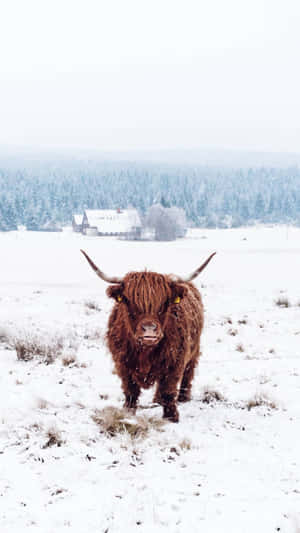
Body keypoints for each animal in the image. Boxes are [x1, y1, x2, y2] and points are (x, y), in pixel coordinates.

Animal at [81, 249, 214, 420]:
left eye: (165, 303)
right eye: (129, 301)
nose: (150, 330)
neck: (145, 352)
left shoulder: (175, 362)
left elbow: (168, 390)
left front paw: (171, 417)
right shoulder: (122, 363)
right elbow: (130, 390)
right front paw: (128, 411)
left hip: (194, 349)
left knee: (188, 372)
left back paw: (183, 397)